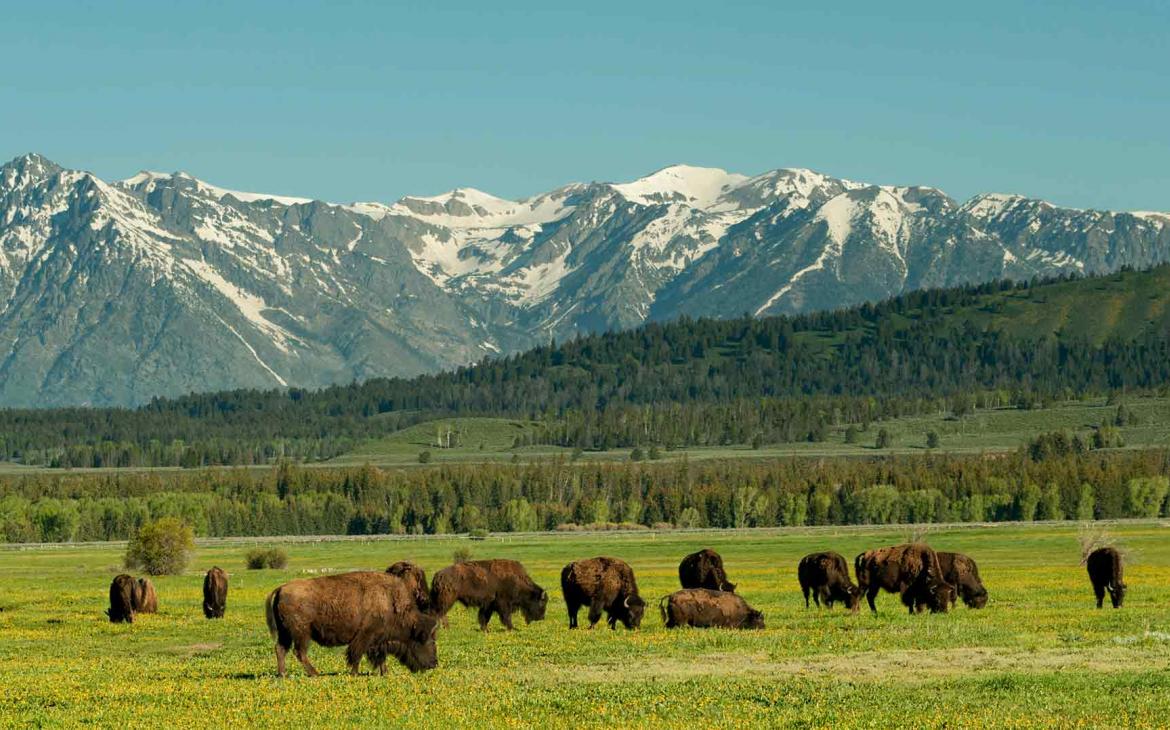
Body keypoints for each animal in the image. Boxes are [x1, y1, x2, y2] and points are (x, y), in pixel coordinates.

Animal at [265, 570, 439, 678]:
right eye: (429, 641)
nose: (434, 664)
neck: (390, 601)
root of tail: (281, 588)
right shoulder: (365, 637)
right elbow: (356, 655)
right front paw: (354, 673)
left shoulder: (379, 640)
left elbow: (379, 657)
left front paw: (384, 672)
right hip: (301, 633)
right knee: (299, 652)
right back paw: (315, 673)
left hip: (285, 633)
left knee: (281, 649)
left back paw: (282, 674)